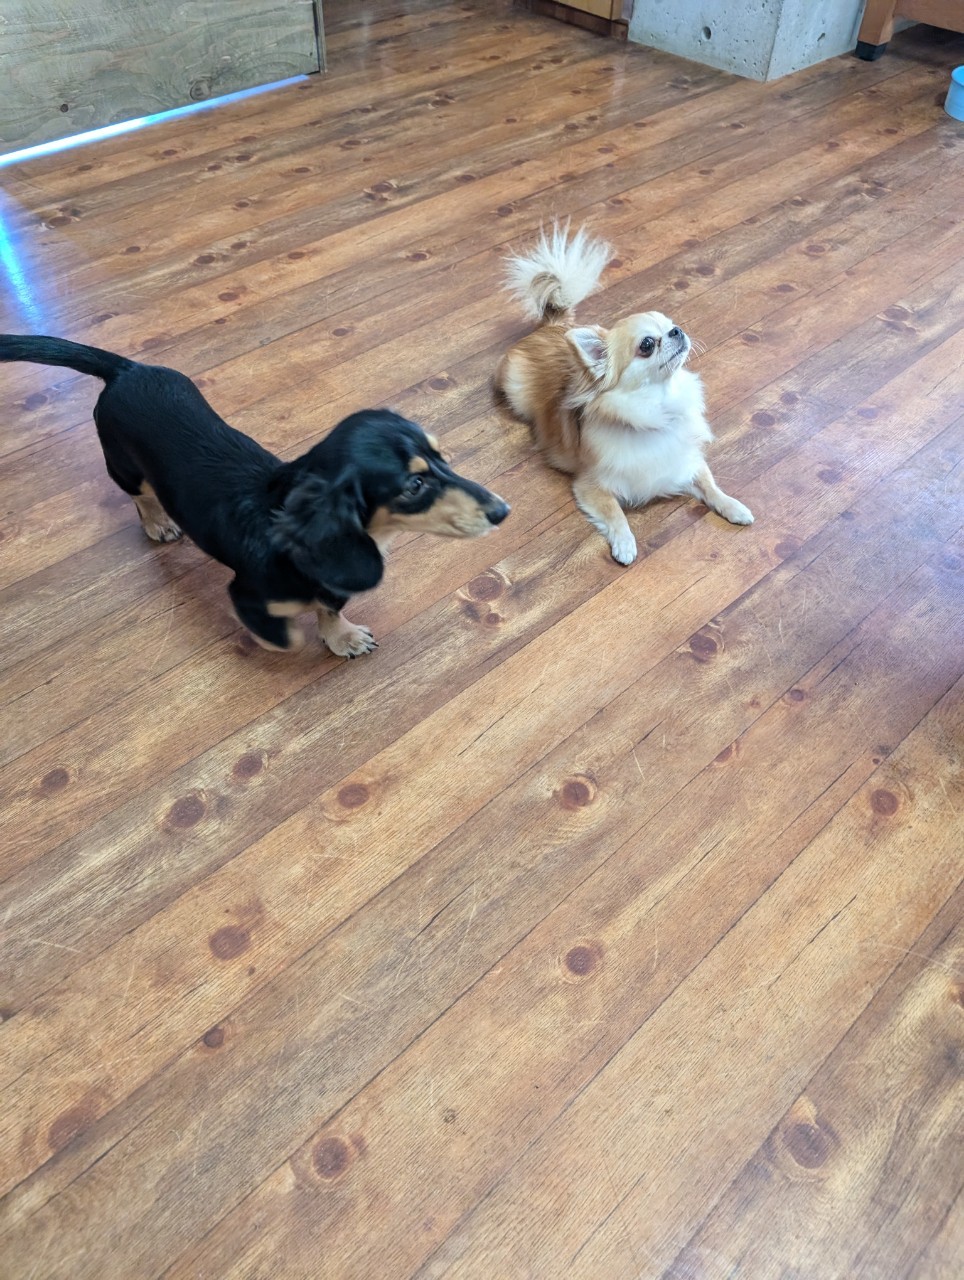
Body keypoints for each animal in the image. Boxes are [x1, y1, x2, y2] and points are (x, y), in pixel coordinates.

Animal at [0, 335, 510, 655]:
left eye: (443, 457)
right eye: (414, 485)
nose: (503, 510)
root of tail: (128, 369)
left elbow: (329, 608)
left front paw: (341, 637)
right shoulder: (246, 591)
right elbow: (284, 630)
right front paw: (291, 636)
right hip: (125, 468)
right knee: (141, 496)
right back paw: (158, 522)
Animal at [495, 224, 752, 565]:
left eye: (671, 325)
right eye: (647, 345)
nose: (677, 331)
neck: (658, 407)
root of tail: (551, 326)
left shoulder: (688, 461)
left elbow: (711, 485)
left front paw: (734, 506)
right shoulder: (592, 485)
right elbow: (615, 512)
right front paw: (625, 544)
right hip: (515, 392)